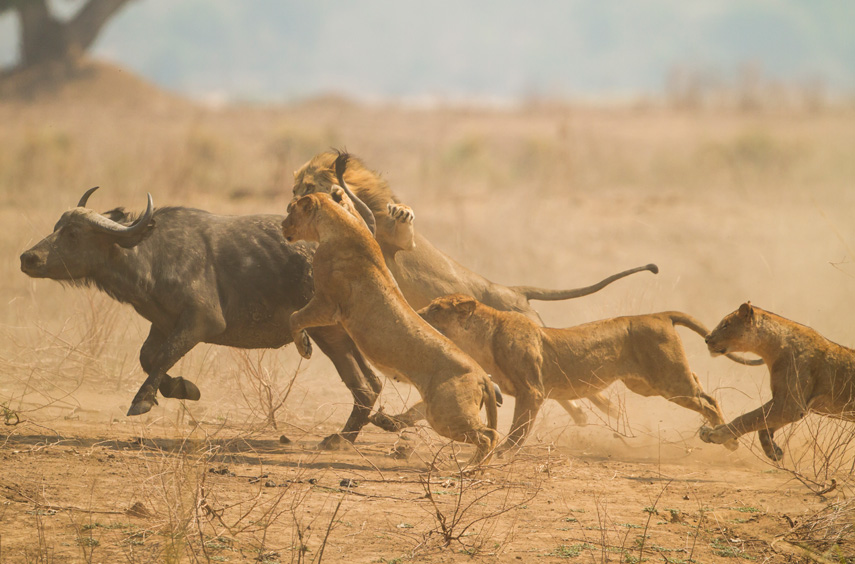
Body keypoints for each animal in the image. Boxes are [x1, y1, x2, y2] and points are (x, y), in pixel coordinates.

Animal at [20, 187, 382, 448]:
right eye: (57, 227)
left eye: (73, 233)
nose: (28, 258)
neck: (150, 255)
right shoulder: (162, 322)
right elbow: (147, 357)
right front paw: (183, 387)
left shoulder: (201, 322)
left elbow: (162, 356)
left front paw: (142, 401)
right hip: (341, 334)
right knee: (371, 383)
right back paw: (346, 436)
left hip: (327, 332)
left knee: (364, 384)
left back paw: (342, 439)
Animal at [280, 192, 502, 464]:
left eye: (291, 210)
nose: (282, 226)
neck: (340, 224)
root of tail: (481, 375)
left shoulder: (327, 303)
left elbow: (294, 317)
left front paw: (304, 348)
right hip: (442, 408)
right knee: (480, 431)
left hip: (446, 414)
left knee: (489, 436)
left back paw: (471, 467)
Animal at [290, 150, 660, 428]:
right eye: (296, 188)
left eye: (306, 184)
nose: (293, 199)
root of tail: (512, 290)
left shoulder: (400, 245)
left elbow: (402, 228)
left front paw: (401, 211)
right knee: (562, 389)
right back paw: (585, 415)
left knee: (574, 382)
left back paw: (606, 410)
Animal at [382, 294, 764, 452]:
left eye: (435, 308)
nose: (415, 313)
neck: (481, 338)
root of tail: (659, 314)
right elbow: (420, 409)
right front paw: (391, 421)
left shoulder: (532, 390)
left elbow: (518, 429)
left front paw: (504, 452)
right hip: (646, 385)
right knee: (703, 390)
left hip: (668, 381)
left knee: (708, 400)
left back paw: (727, 441)